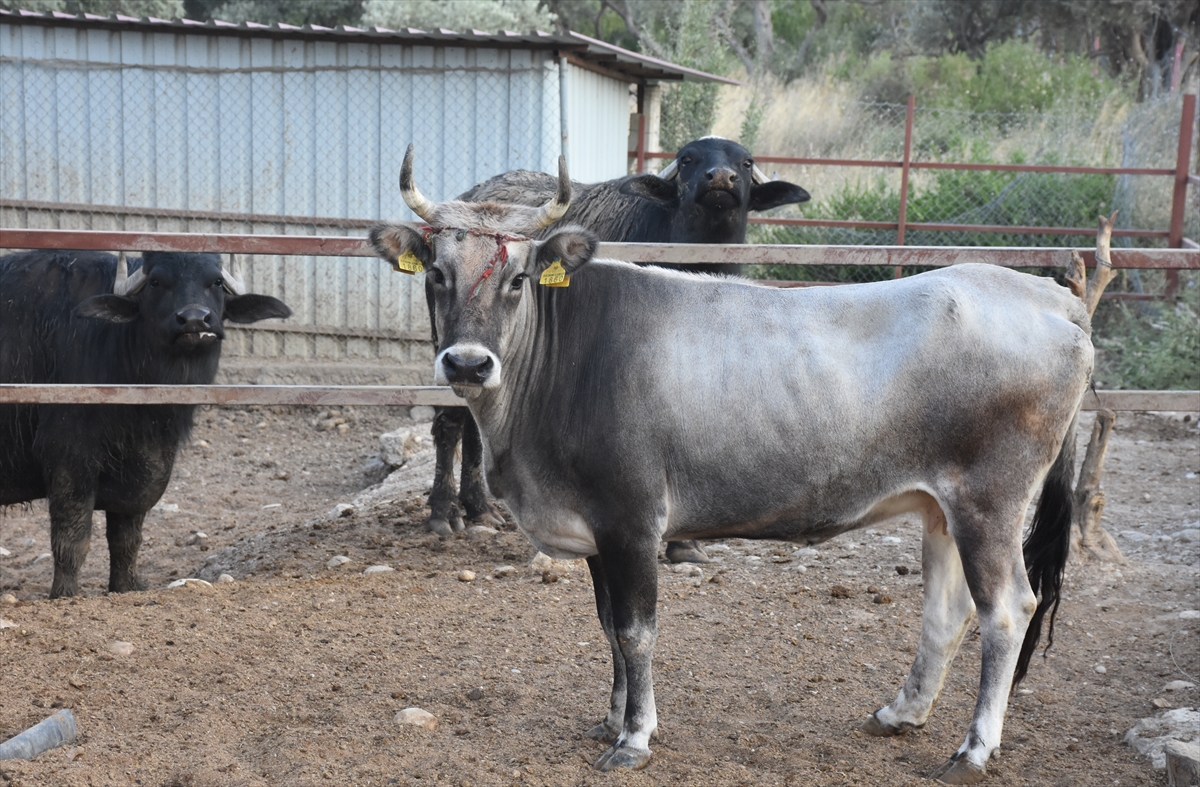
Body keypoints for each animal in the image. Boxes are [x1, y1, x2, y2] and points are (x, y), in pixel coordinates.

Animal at [427, 139, 811, 559]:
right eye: (688, 160)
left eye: (745, 162)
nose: (720, 178)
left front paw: (686, 544)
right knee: (450, 422)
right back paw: (444, 513)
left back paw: (480, 509)